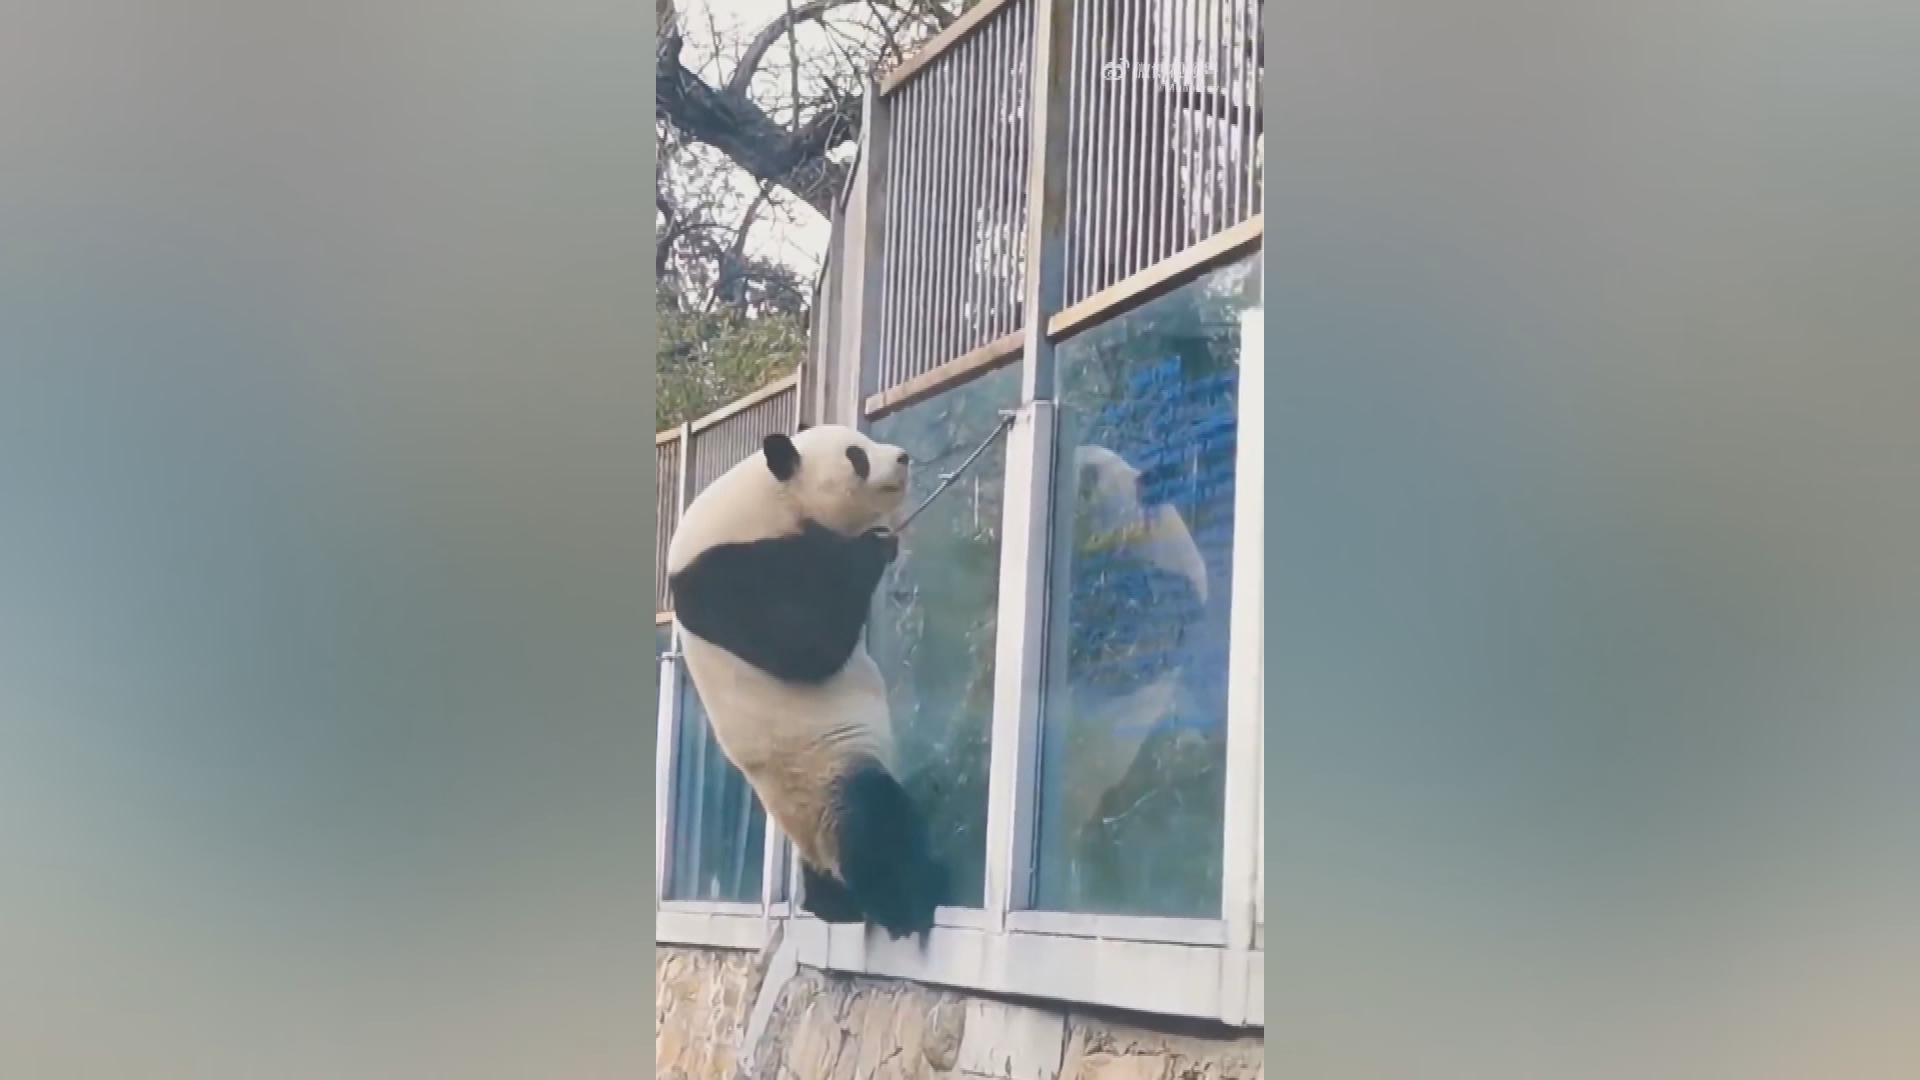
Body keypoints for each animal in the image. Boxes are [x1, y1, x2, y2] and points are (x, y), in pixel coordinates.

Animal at [666, 423, 946, 940]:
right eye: (856, 455)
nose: (902, 458)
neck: (766, 499)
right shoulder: (723, 574)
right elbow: (806, 647)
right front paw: (875, 545)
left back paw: (835, 904)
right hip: (827, 770)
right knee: (875, 821)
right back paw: (910, 899)